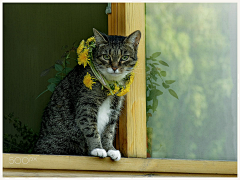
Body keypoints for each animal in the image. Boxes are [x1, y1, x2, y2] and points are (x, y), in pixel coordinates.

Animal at [34, 28, 142, 161]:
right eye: (106, 56)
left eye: (125, 57)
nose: (115, 67)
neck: (109, 84)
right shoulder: (86, 105)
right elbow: (91, 128)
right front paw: (97, 149)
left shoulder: (114, 110)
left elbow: (109, 131)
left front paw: (111, 149)